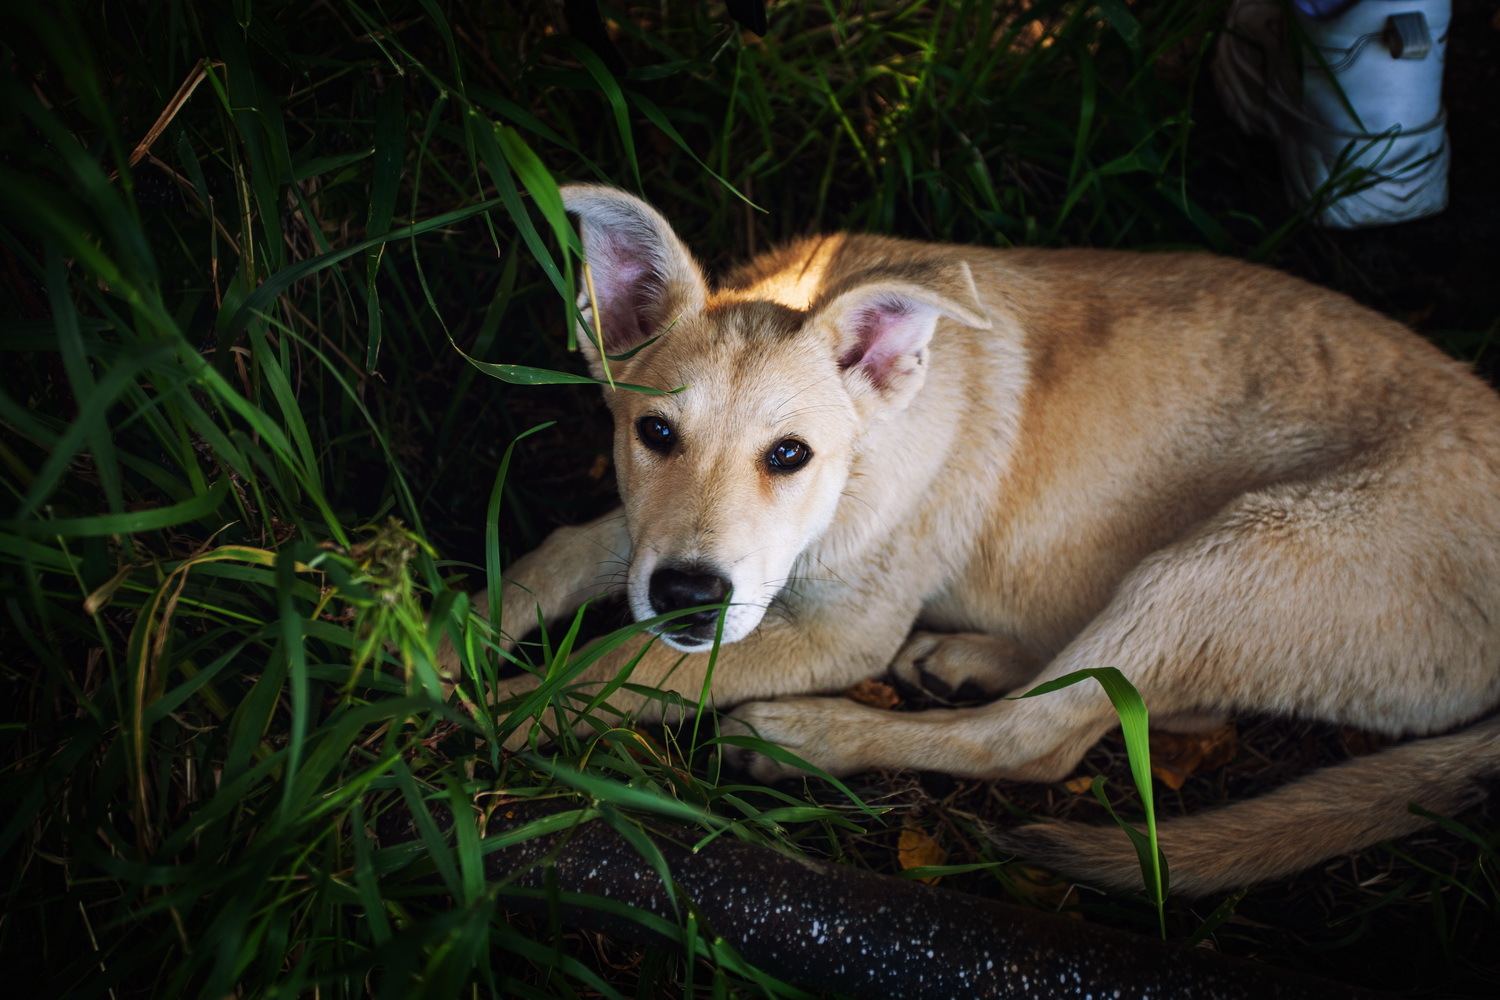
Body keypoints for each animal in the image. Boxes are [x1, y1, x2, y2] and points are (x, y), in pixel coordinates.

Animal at [483, 183, 1500, 893]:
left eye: (790, 455)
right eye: (655, 435)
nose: (690, 597)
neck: (868, 460)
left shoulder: (840, 634)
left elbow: (623, 666)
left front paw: (493, 718)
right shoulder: (657, 543)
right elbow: (568, 554)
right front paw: (455, 633)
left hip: (1238, 548)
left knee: (1039, 740)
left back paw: (809, 733)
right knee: (1155, 705)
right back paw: (968, 662)